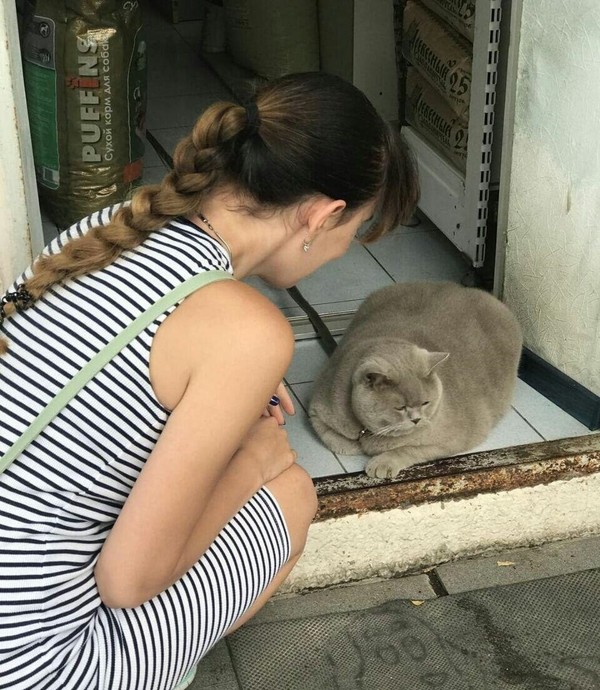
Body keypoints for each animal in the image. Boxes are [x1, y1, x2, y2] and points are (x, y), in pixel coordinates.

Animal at [308, 282, 524, 476]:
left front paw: (381, 463)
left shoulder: (453, 438)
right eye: (400, 407)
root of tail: (464, 288)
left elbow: (408, 449)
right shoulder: (316, 411)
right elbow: (333, 438)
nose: (417, 419)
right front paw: (354, 445)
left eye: (426, 403)